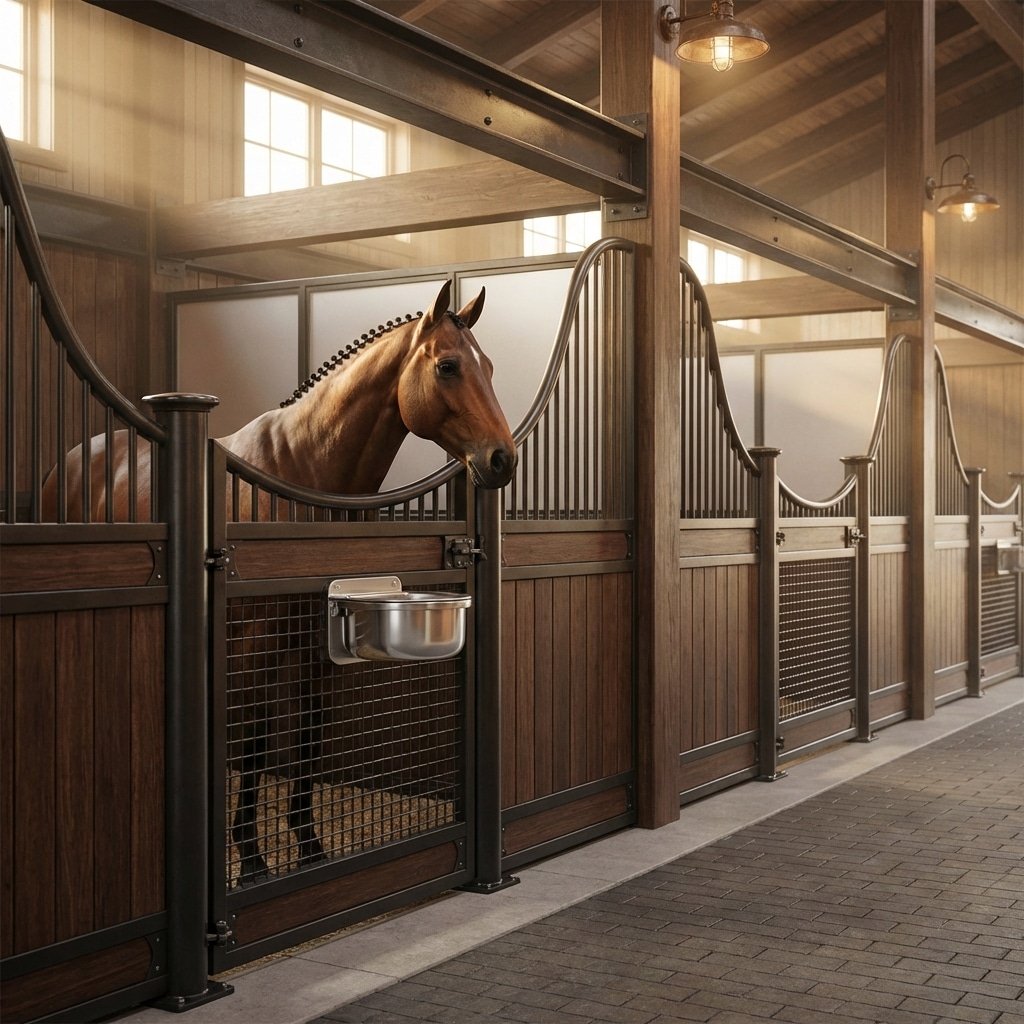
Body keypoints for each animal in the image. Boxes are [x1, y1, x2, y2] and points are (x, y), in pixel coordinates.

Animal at [41, 280, 517, 884]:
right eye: (449, 366)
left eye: (491, 366)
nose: (502, 459)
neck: (302, 470)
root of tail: (78, 458)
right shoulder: (256, 646)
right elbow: (257, 740)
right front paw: (251, 861)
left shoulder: (318, 643)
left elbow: (311, 733)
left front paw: (309, 847)